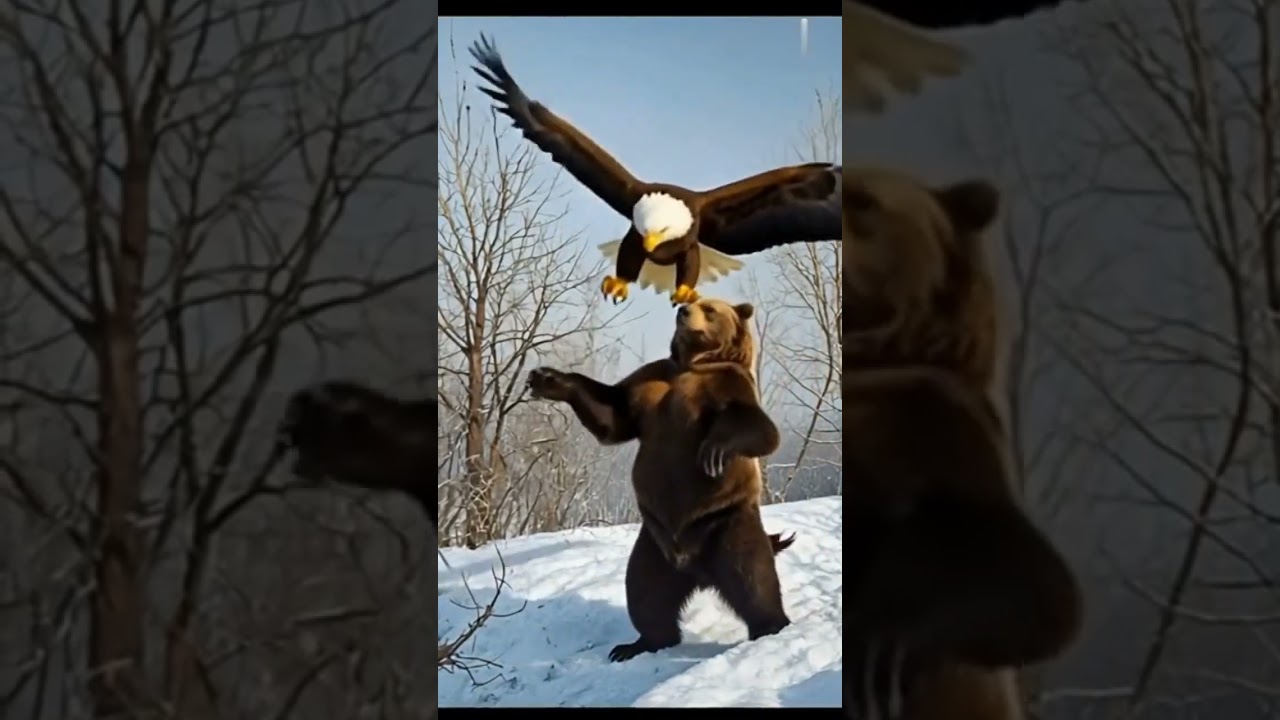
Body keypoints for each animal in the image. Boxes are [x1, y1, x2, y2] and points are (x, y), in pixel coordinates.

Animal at [526, 298, 794, 662]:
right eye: (692, 302)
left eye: (710, 308)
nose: (683, 309)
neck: (693, 363)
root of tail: (696, 569)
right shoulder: (650, 383)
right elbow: (613, 414)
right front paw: (546, 378)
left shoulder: (727, 384)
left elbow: (761, 429)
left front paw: (712, 451)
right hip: (654, 545)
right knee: (644, 590)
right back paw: (636, 645)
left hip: (726, 523)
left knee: (753, 578)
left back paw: (772, 626)